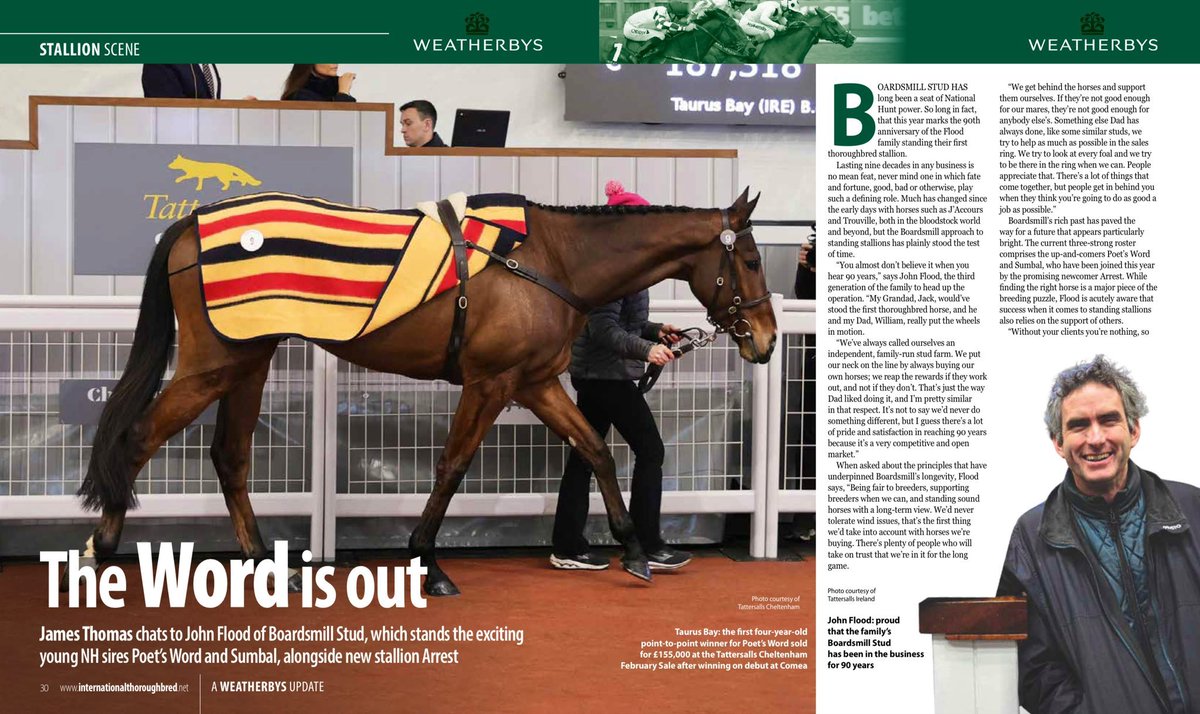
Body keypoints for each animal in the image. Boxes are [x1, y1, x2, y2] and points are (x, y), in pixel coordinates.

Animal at [74, 189, 777, 597]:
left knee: (230, 457)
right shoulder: (490, 382)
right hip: (215, 364)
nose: (767, 340)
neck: (547, 261)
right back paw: (101, 551)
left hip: (249, 360)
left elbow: (596, 451)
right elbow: (452, 466)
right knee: (138, 437)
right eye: (750, 260)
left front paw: (633, 549)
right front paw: (428, 562)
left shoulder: (536, 382)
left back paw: (265, 563)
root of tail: (191, 226)